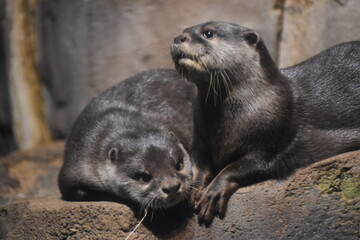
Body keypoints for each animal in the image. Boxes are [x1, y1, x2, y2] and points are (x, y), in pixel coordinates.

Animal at [171, 20, 360, 225]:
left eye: (208, 33)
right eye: (183, 31)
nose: (177, 38)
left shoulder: (276, 141)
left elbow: (241, 166)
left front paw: (214, 191)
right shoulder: (200, 137)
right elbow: (197, 164)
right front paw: (194, 187)